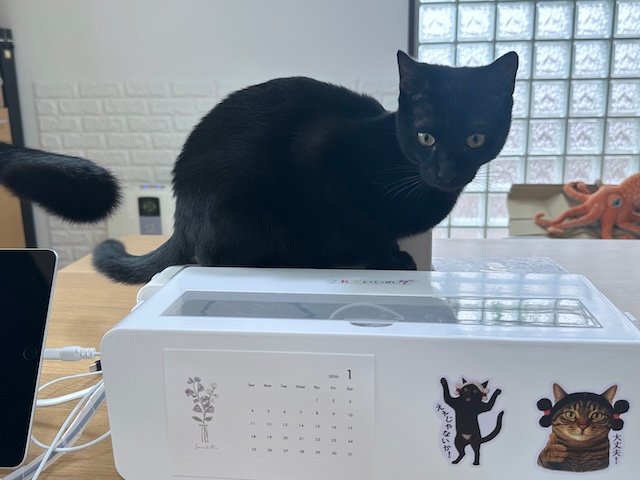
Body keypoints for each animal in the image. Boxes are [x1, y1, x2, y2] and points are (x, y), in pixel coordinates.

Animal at [0, 51, 517, 283]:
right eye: (426, 137)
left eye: (475, 139)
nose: (448, 172)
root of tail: (182, 216)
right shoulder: (318, 152)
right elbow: (361, 225)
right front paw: (387, 259)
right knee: (216, 256)